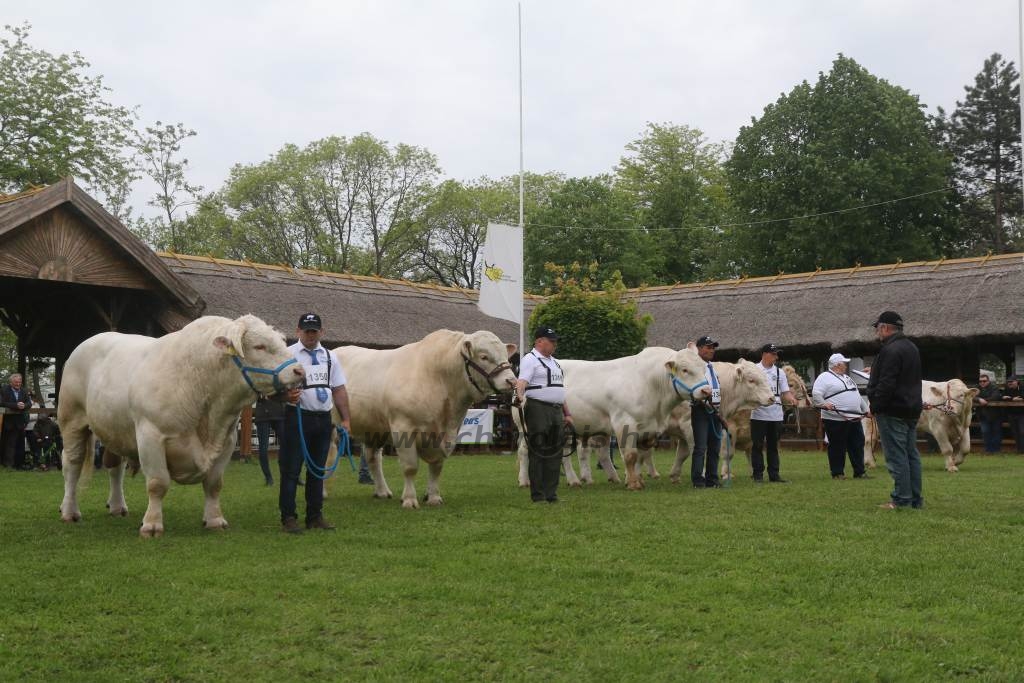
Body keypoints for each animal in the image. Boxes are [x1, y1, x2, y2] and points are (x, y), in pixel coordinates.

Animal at [58, 317, 301, 540]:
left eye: (282, 341)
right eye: (259, 346)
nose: (299, 370)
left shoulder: (228, 440)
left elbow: (214, 484)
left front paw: (215, 520)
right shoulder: (150, 435)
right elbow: (157, 484)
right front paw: (151, 525)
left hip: (114, 429)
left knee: (115, 467)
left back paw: (117, 507)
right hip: (71, 421)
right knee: (72, 465)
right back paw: (69, 511)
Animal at [337, 327, 516, 509]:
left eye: (506, 356)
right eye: (484, 356)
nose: (512, 381)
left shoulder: (449, 433)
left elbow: (436, 467)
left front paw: (434, 497)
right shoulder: (403, 428)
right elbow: (410, 467)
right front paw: (409, 499)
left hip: (374, 429)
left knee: (372, 457)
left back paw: (382, 491)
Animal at [512, 348, 712, 491]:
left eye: (704, 368)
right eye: (685, 369)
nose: (707, 391)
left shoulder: (648, 429)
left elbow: (641, 456)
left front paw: (637, 480)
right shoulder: (625, 423)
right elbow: (630, 455)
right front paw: (633, 484)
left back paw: (579, 480)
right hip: (528, 428)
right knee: (524, 451)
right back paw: (524, 481)